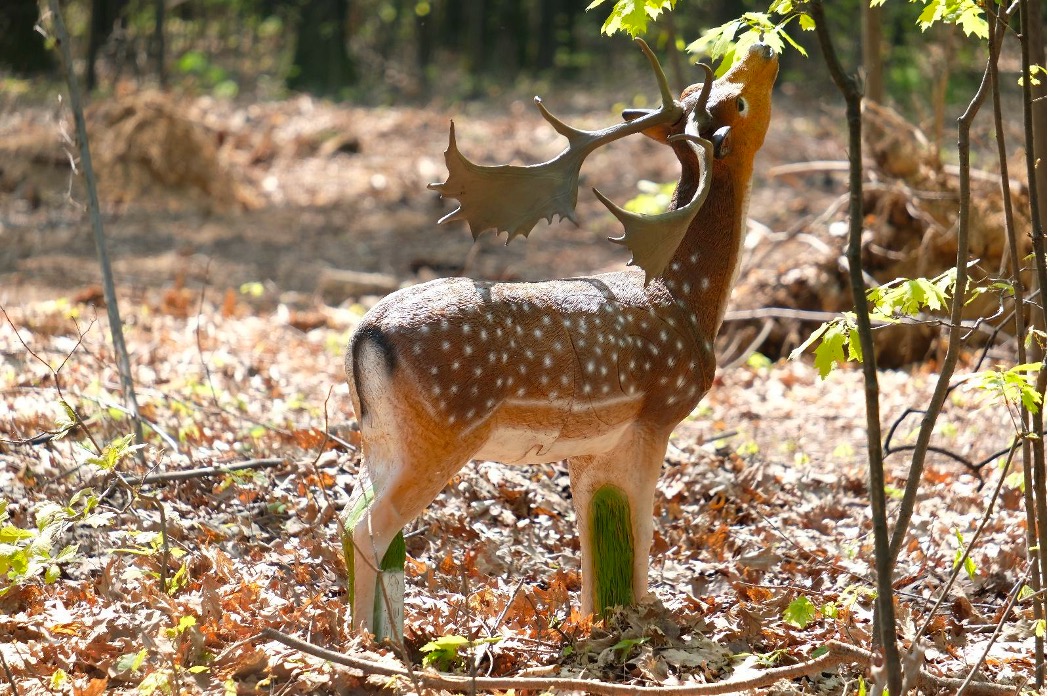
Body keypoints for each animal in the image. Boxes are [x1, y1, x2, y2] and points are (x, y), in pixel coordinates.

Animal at [343, 40, 778, 637]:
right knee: (372, 527)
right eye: (737, 104)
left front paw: (598, 625)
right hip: (444, 429)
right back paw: (370, 644)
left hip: (380, 436)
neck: (688, 300)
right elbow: (643, 529)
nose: (762, 47)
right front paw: (647, 624)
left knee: (348, 516)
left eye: (701, 92)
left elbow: (597, 531)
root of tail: (365, 335)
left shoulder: (595, 443)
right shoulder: (658, 414)